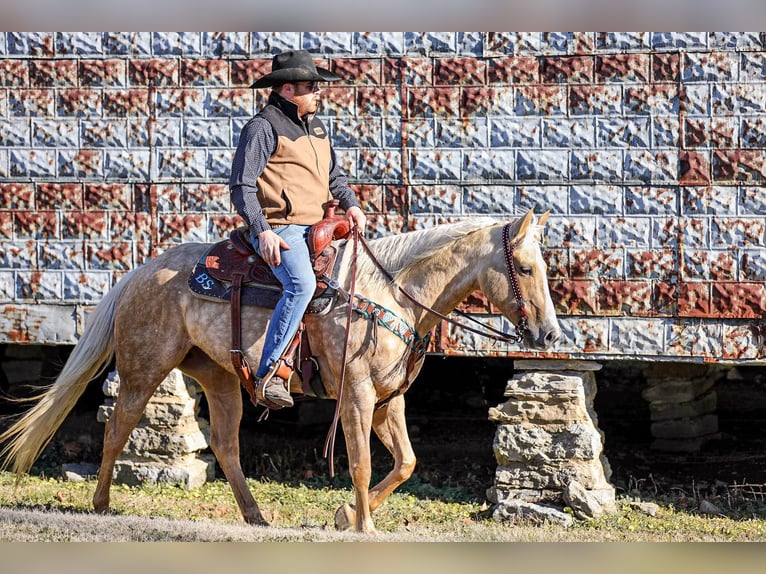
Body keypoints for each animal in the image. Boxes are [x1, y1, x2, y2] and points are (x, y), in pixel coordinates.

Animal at [1, 210, 564, 536]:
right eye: (526, 268)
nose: (550, 335)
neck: (390, 295)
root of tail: (140, 271)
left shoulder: (390, 400)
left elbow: (405, 463)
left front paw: (346, 516)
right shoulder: (356, 396)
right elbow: (362, 464)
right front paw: (363, 527)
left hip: (221, 379)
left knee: (225, 446)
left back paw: (255, 516)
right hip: (145, 369)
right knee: (117, 430)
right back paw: (100, 504)